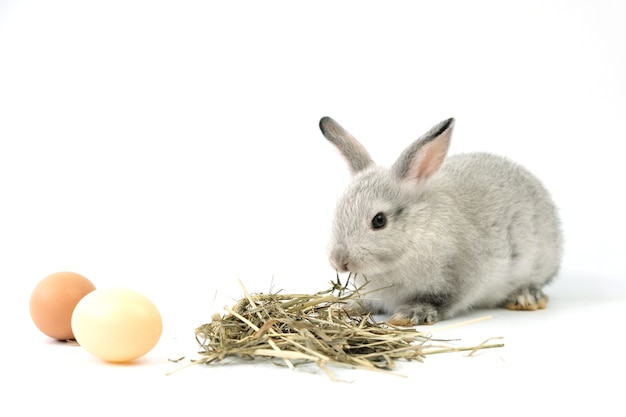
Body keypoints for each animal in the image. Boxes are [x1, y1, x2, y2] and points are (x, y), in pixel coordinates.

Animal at [316, 117, 560, 324]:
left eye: (379, 221)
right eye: (337, 210)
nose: (339, 261)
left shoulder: (458, 281)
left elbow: (439, 301)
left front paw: (409, 315)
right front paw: (343, 307)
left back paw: (525, 298)